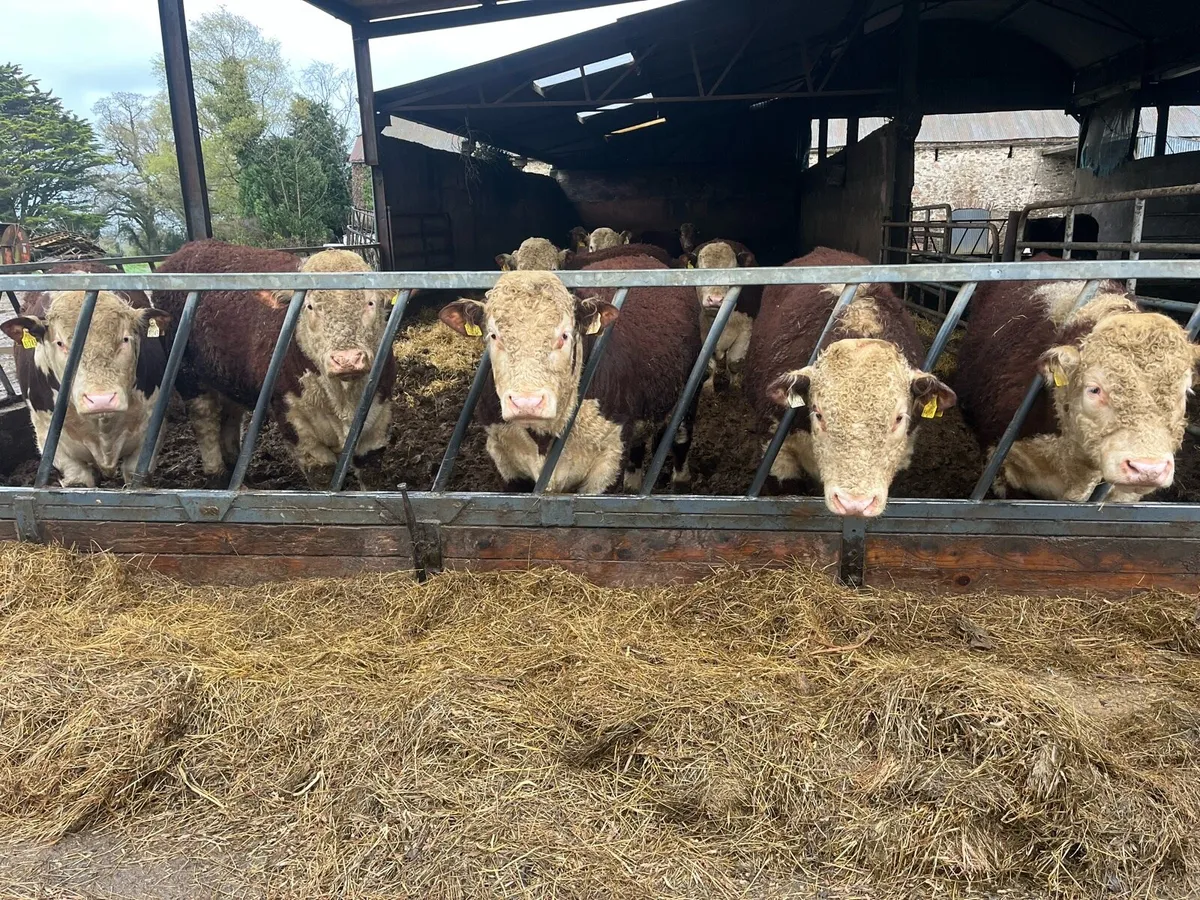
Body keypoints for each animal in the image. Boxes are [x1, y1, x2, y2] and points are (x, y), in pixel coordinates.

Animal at [154, 240, 394, 490]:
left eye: (370, 302)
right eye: (309, 306)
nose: (347, 359)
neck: (343, 397)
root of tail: (190, 248)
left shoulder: (378, 415)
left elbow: (370, 473)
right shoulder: (295, 423)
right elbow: (322, 474)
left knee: (230, 416)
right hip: (188, 375)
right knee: (204, 420)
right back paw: (217, 476)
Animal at [438, 255, 701, 494]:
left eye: (564, 335)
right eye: (493, 335)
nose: (527, 403)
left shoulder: (609, 462)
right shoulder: (504, 461)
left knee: (681, 439)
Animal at [681, 238, 763, 393]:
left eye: (733, 272)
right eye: (700, 273)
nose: (715, 300)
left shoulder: (746, 331)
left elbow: (734, 363)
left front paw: (734, 387)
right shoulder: (704, 332)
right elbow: (709, 365)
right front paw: (708, 388)